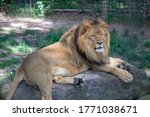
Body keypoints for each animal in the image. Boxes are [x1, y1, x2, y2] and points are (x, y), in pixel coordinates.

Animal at [5, 18, 133, 99]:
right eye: (93, 36)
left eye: (102, 34)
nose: (100, 43)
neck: (94, 51)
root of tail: (21, 65)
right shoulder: (92, 63)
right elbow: (112, 68)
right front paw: (125, 75)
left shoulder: (100, 57)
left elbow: (117, 59)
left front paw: (126, 65)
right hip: (44, 79)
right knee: (46, 98)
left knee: (56, 79)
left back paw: (77, 81)